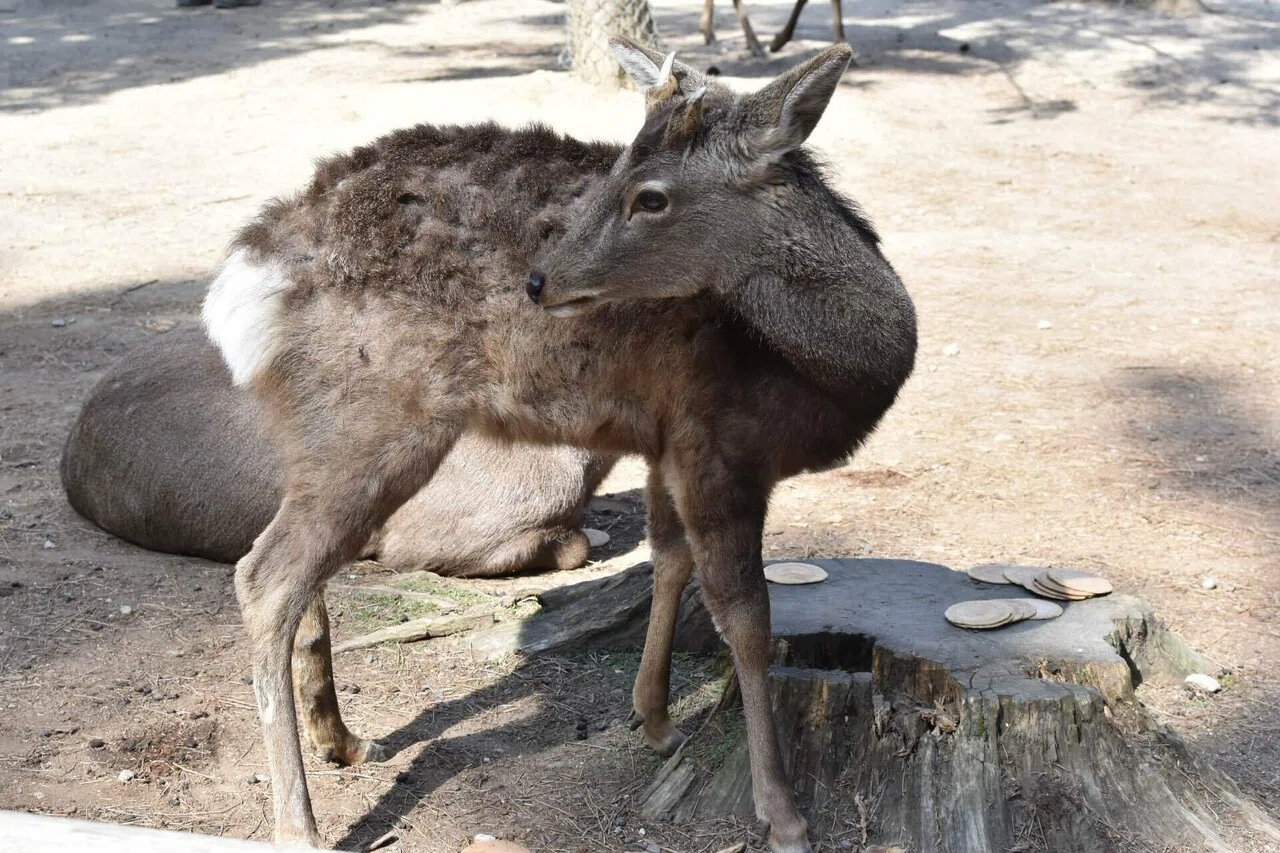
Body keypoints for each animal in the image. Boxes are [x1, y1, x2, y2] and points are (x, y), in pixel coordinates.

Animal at [201, 37, 916, 853]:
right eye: (619, 171)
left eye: (650, 195)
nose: (539, 281)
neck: (828, 376)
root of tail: (243, 277)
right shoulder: (718, 443)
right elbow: (747, 617)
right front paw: (783, 810)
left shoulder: (668, 437)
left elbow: (668, 559)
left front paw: (655, 719)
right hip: (373, 420)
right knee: (267, 574)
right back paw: (299, 822)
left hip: (312, 429)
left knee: (299, 567)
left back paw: (345, 741)